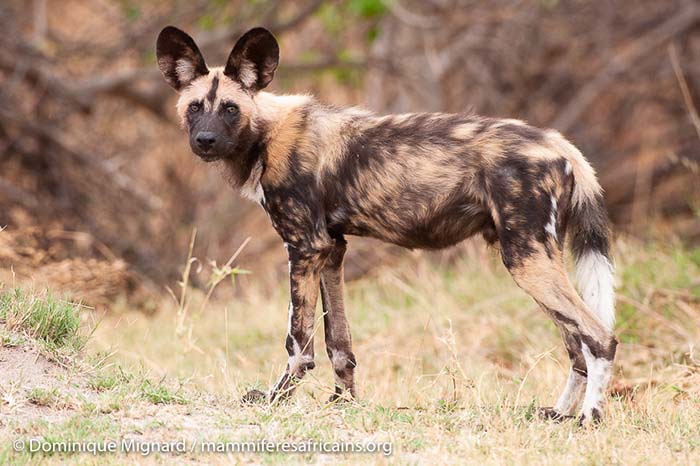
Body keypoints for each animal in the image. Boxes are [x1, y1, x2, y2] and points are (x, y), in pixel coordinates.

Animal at [156, 26, 616, 426]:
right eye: (195, 108)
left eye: (230, 109)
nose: (205, 141)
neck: (267, 135)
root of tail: (558, 143)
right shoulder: (331, 250)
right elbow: (338, 342)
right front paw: (342, 402)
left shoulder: (304, 248)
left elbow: (298, 342)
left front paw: (276, 398)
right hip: (537, 258)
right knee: (575, 345)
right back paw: (558, 413)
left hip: (525, 260)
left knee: (600, 337)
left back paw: (590, 418)